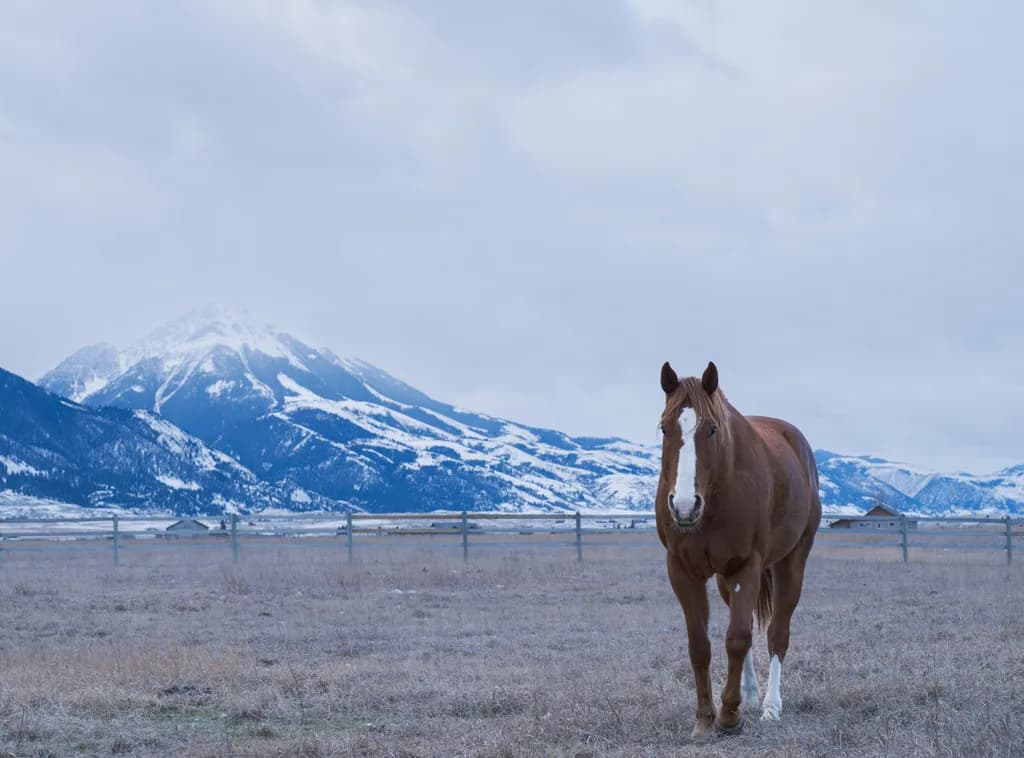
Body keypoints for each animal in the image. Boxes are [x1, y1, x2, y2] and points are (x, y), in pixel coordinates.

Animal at [655, 360, 821, 737]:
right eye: (664, 428)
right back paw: (750, 692)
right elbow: (700, 645)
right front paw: (705, 718)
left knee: (777, 634)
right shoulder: (682, 570)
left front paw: (729, 714)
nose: (684, 506)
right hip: (723, 578)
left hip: (791, 563)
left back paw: (771, 705)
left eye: (712, 429)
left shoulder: (746, 566)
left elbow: (738, 637)